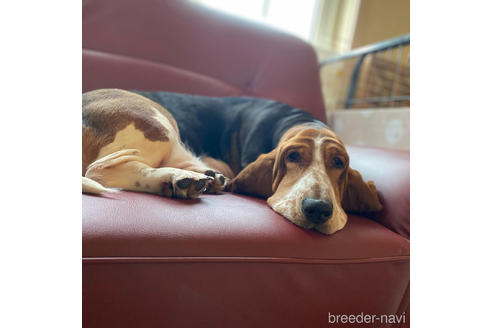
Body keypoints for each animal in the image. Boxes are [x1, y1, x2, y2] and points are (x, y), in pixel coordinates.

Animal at [82, 88, 380, 234]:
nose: (318, 208)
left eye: (339, 163)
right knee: (100, 171)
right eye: (292, 157)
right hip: (158, 123)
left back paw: (191, 180)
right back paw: (181, 179)